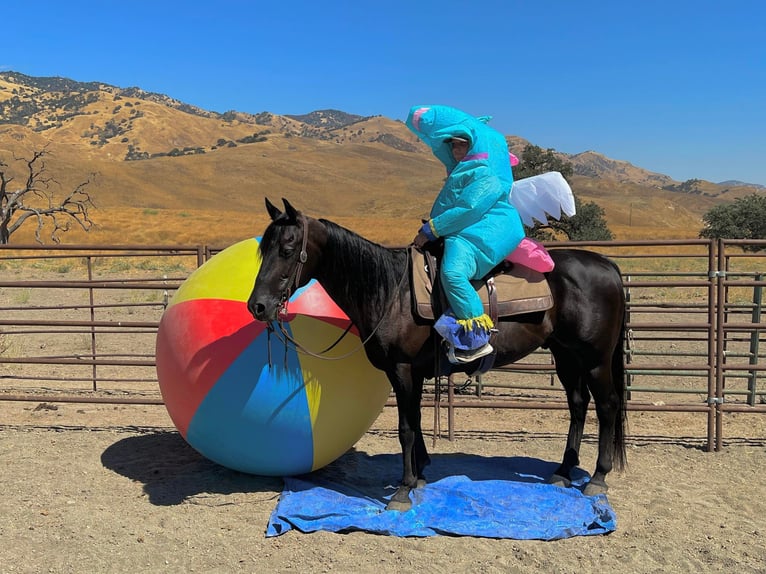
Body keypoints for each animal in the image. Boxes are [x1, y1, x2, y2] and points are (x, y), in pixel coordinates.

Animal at [249, 199, 628, 512]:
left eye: (287, 248)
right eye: (263, 249)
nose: (258, 306)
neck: (391, 292)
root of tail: (607, 265)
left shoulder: (401, 370)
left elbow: (405, 427)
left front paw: (402, 490)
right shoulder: (413, 374)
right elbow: (415, 422)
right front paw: (418, 476)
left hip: (595, 360)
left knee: (607, 405)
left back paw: (597, 477)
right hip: (566, 357)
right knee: (578, 404)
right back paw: (563, 471)